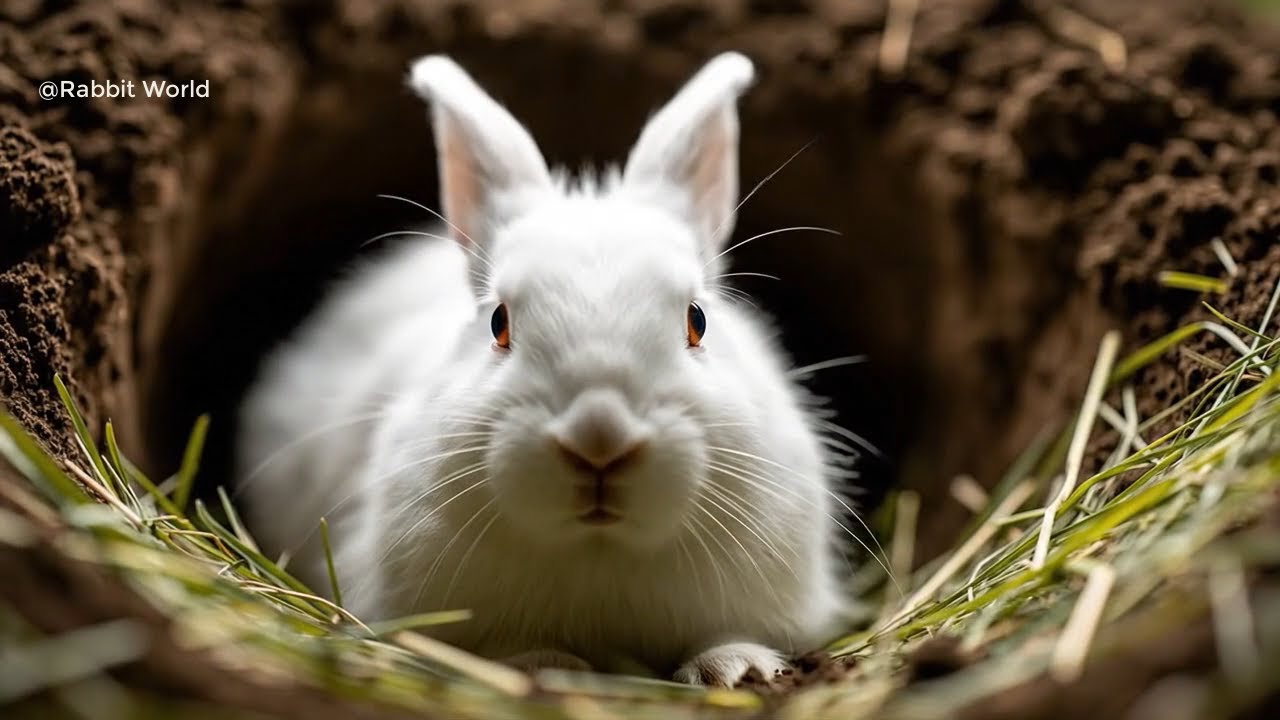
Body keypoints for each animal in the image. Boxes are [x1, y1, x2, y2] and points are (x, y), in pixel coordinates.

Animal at [236, 51, 853, 687]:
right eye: (498, 323)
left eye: (697, 321)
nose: (600, 438)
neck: (598, 550)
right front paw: (548, 665)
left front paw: (735, 668)